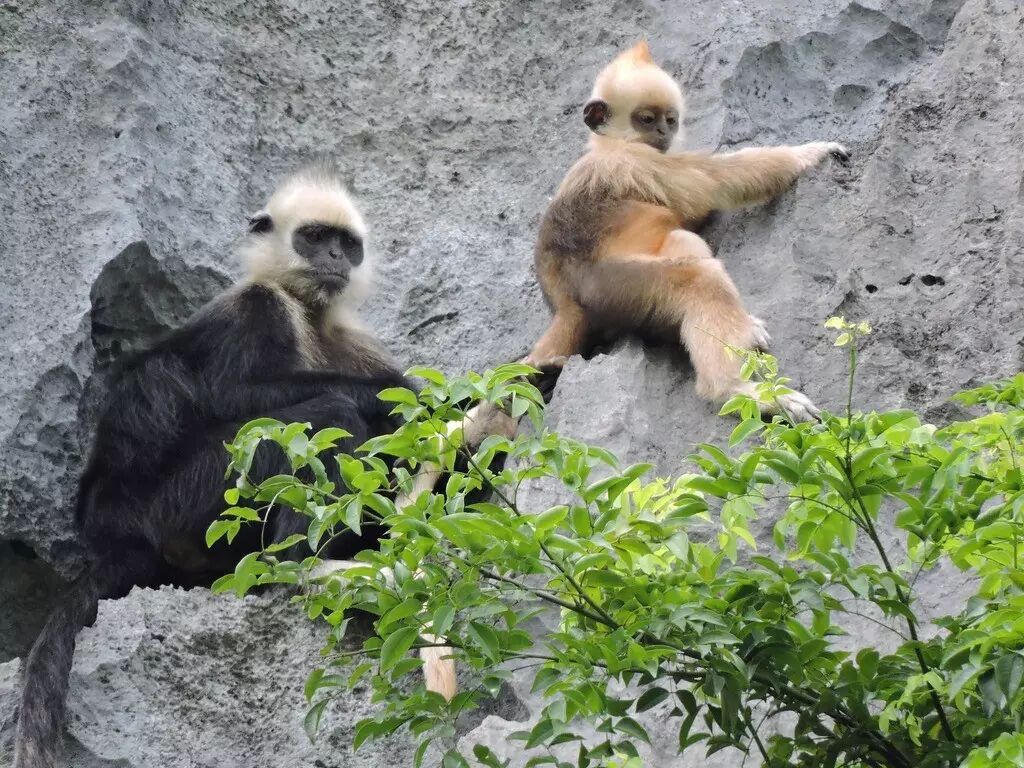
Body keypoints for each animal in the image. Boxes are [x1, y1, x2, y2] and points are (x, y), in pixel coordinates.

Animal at [13, 162, 515, 767]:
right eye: (314, 238)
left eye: (346, 244)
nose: (335, 258)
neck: (311, 311)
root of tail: (118, 536)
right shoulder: (257, 307)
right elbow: (238, 395)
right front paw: (407, 400)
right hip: (188, 498)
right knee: (319, 413)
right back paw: (296, 568)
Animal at [527, 41, 851, 421]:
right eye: (646, 119)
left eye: (670, 119)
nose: (664, 132)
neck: (610, 145)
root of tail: (564, 302)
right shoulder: (640, 162)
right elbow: (720, 182)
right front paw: (813, 152)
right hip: (615, 290)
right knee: (700, 278)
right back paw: (737, 390)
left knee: (681, 238)